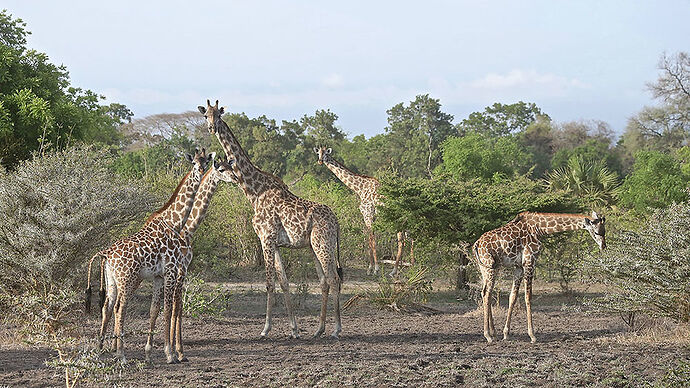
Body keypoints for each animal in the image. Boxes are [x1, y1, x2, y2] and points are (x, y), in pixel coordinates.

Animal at [85, 149, 211, 364]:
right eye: (194, 163)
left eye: (206, 162)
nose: (201, 171)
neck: (175, 223)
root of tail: (107, 254)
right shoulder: (172, 270)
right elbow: (169, 309)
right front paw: (170, 354)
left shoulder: (159, 276)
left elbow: (155, 310)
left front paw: (149, 353)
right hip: (127, 279)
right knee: (120, 308)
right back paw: (121, 354)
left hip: (113, 281)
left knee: (108, 307)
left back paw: (100, 349)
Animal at [196, 101, 342, 340]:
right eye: (205, 115)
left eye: (219, 114)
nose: (211, 128)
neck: (254, 191)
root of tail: (337, 222)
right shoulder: (274, 242)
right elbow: (283, 282)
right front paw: (294, 329)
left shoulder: (266, 237)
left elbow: (269, 283)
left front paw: (265, 329)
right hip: (314, 246)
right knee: (324, 282)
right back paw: (319, 329)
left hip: (323, 244)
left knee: (334, 279)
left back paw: (337, 329)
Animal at [314, 146, 412, 276]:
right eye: (318, 153)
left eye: (326, 154)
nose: (320, 161)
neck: (359, 188)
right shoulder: (369, 216)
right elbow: (369, 240)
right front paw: (370, 268)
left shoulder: (368, 214)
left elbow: (372, 239)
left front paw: (375, 268)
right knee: (407, 240)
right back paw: (404, 267)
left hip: (398, 220)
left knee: (401, 241)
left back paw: (393, 271)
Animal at [470, 212, 604, 342]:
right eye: (597, 232)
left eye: (604, 231)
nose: (604, 246)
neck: (539, 228)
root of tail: (476, 244)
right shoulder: (530, 262)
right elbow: (528, 297)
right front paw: (532, 335)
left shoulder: (519, 266)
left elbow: (513, 297)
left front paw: (506, 334)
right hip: (490, 267)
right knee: (487, 293)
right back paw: (488, 335)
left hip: (487, 267)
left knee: (485, 292)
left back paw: (494, 333)